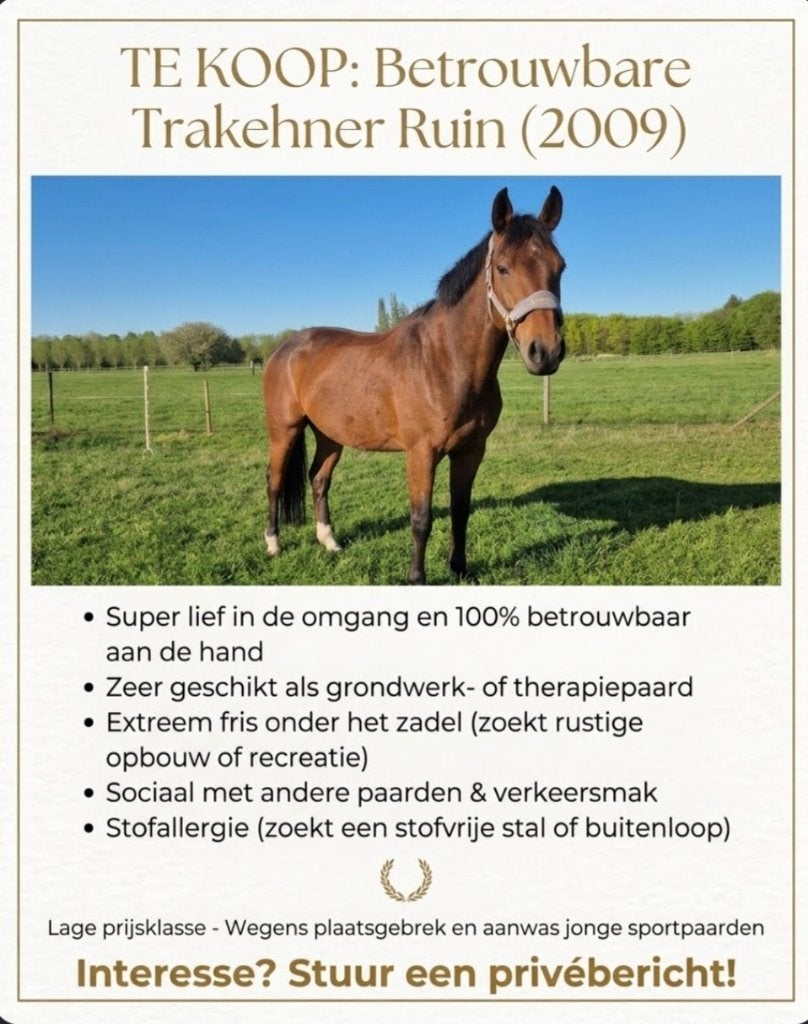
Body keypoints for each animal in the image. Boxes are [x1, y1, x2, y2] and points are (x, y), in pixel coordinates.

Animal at [263, 185, 566, 584]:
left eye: (560, 267)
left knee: (318, 479)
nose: (545, 351)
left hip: (329, 434)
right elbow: (421, 520)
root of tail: (285, 348)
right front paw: (417, 578)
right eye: (503, 268)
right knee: (275, 480)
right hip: (284, 430)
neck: (445, 361)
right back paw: (273, 544)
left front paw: (460, 570)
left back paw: (329, 542)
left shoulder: (471, 450)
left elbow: (460, 510)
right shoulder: (421, 453)